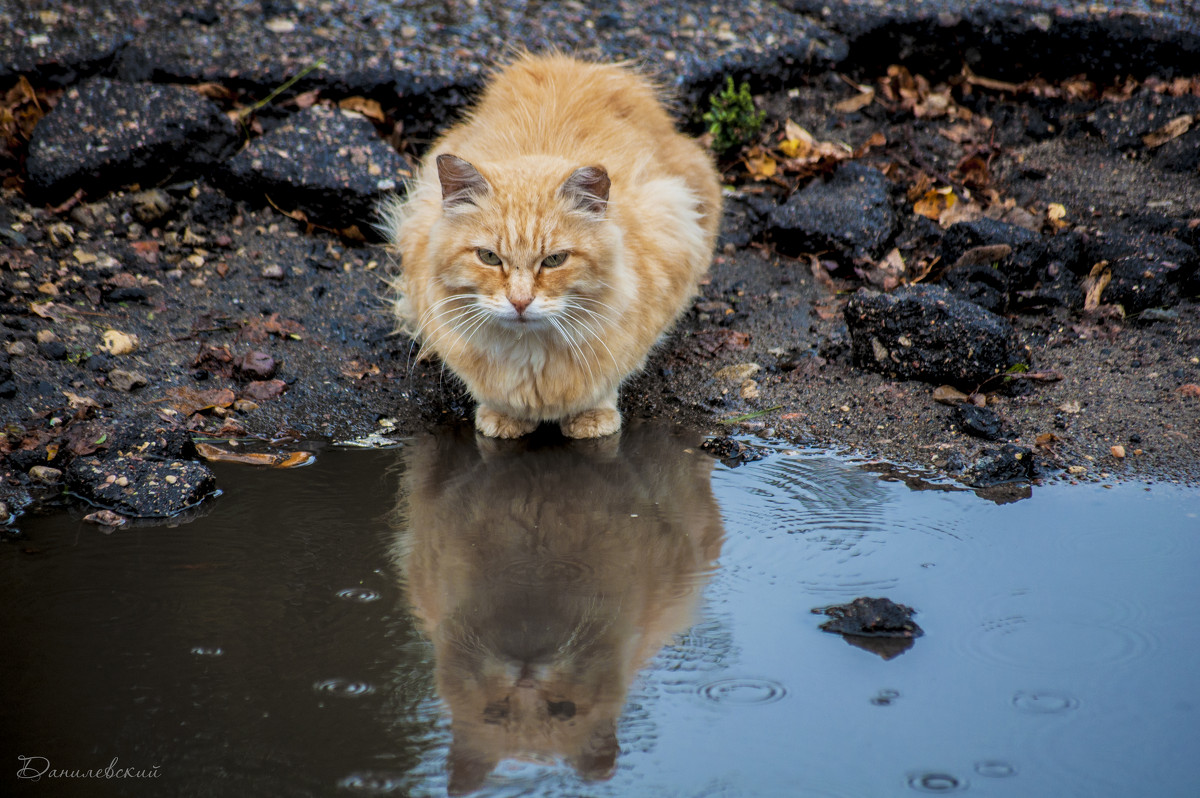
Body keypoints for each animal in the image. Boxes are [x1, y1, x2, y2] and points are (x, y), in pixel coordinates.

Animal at [384, 52, 720, 439]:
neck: (531, 356)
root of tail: (574, 63)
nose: (520, 302)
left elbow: (604, 386)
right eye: (489, 257)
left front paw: (592, 420)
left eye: (555, 260)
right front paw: (503, 419)